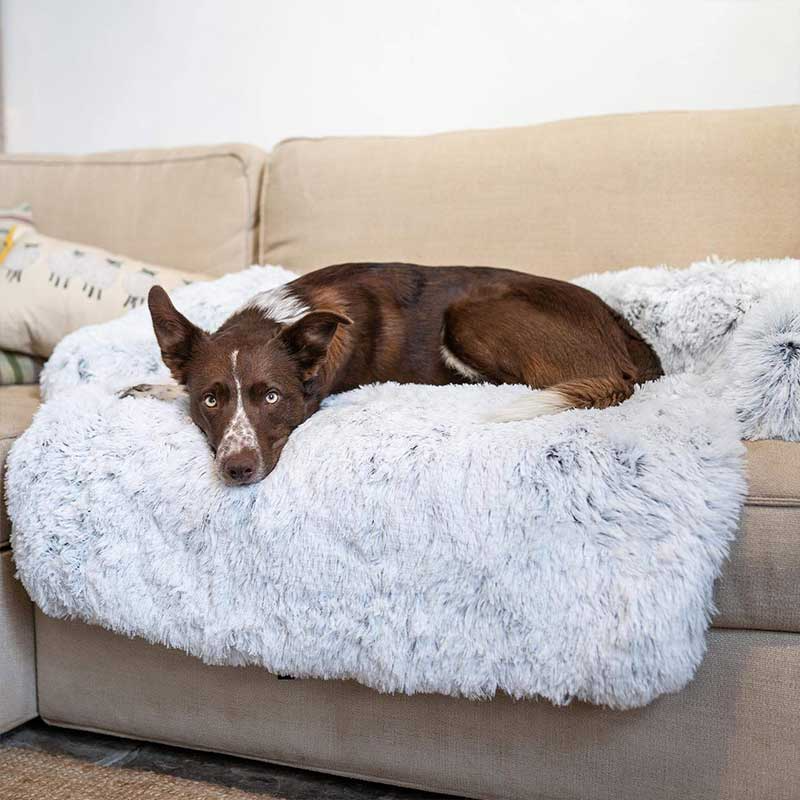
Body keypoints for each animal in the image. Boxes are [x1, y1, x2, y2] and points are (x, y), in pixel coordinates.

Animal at [128, 266, 660, 484]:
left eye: (272, 396)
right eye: (211, 400)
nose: (236, 470)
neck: (277, 317)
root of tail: (625, 335)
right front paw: (152, 386)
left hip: (469, 314)